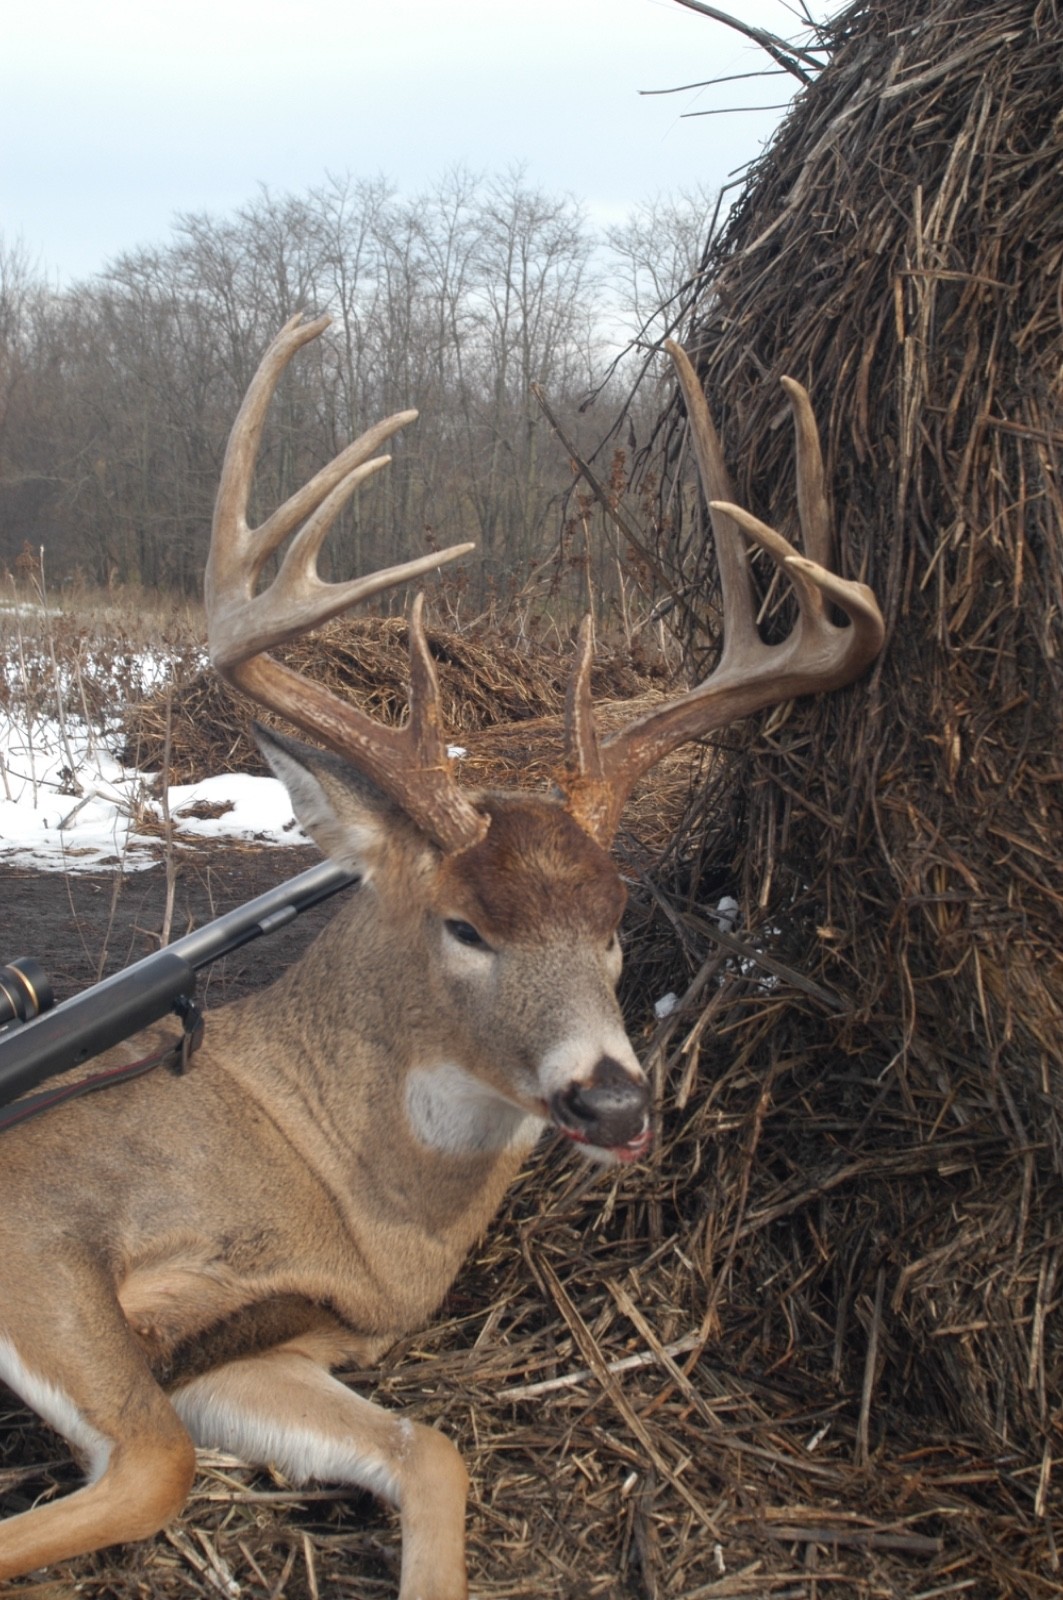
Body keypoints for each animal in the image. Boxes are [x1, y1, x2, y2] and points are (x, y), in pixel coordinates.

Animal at [0, 313, 884, 1599]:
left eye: (616, 915)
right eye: (465, 923)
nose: (613, 1101)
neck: (346, 1188)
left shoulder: (261, 1345)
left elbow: (431, 1453)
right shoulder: (39, 1210)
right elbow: (157, 1460)